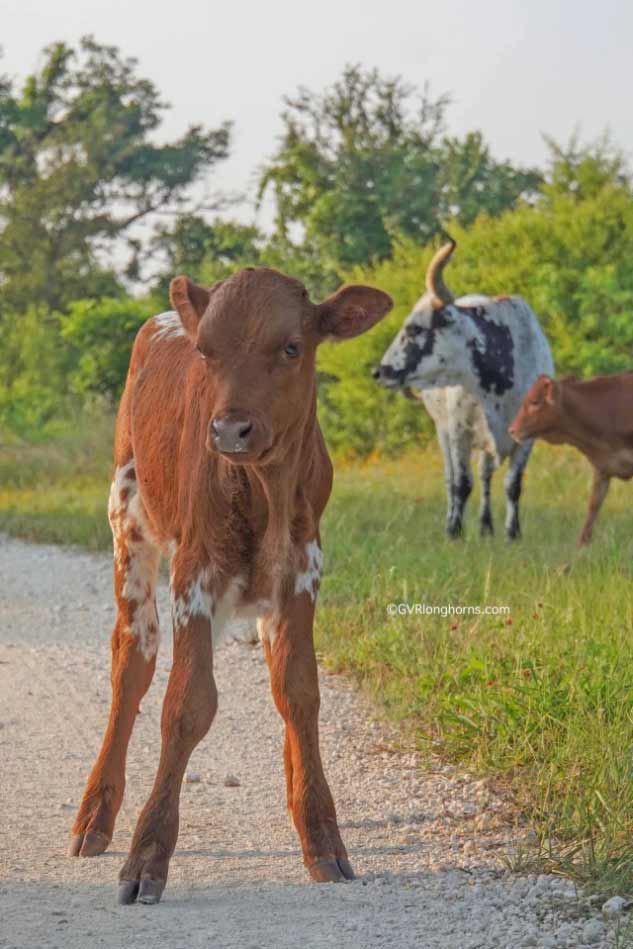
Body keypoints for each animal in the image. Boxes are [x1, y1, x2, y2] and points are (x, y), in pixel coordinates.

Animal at [65, 266, 390, 904]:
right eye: (206, 352)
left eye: (291, 347)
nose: (230, 430)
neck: (264, 488)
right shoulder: (194, 572)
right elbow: (186, 703)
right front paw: (147, 855)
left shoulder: (304, 569)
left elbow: (299, 692)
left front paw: (320, 834)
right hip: (127, 518)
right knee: (132, 658)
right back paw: (95, 814)